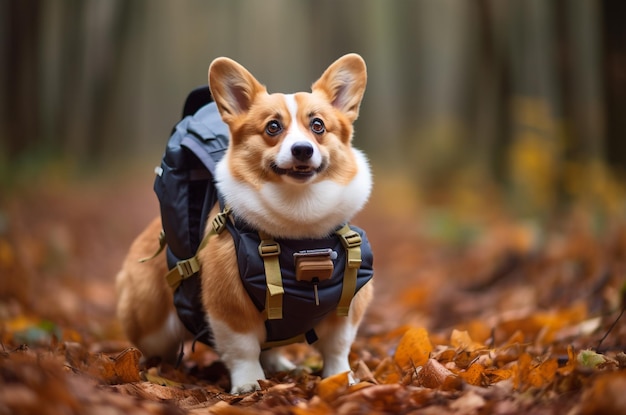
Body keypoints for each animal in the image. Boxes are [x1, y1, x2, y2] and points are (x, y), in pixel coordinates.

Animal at [116, 53, 370, 394]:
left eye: (318, 125)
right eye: (273, 127)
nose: (302, 150)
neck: (300, 233)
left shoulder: (349, 306)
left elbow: (337, 348)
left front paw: (341, 378)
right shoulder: (228, 305)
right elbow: (242, 349)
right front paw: (249, 384)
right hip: (151, 323)